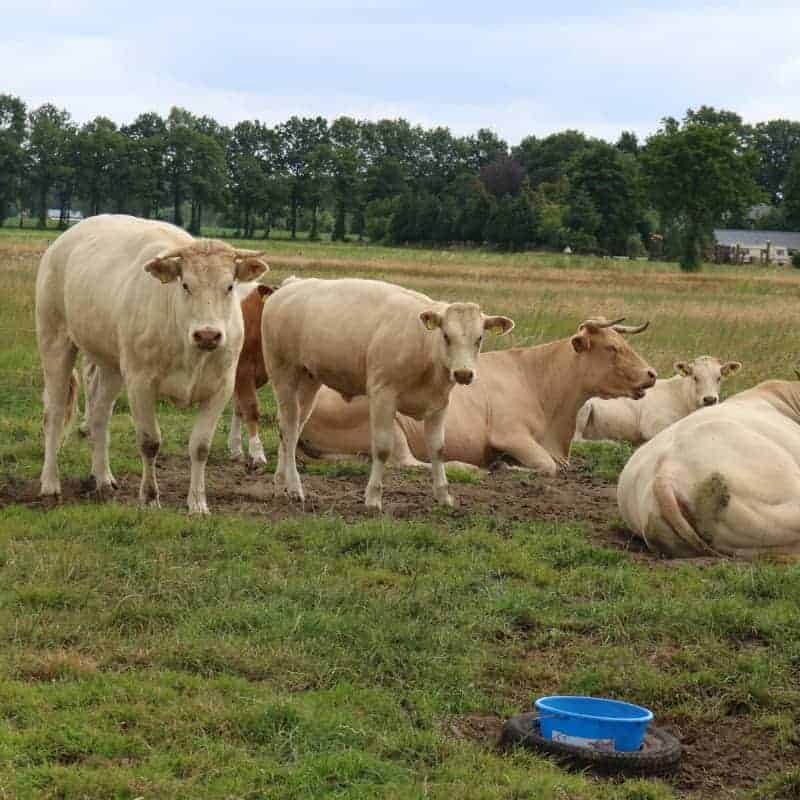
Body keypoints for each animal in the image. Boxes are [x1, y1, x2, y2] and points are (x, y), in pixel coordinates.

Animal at [35, 214, 268, 513]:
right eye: (185, 285)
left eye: (229, 286)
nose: (207, 334)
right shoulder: (140, 383)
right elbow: (150, 442)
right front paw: (149, 497)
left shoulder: (221, 387)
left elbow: (200, 446)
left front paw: (198, 503)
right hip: (55, 340)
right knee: (53, 414)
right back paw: (50, 484)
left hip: (111, 364)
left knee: (99, 414)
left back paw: (103, 478)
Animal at [261, 276, 515, 510]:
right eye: (446, 336)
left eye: (479, 338)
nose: (463, 373)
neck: (424, 346)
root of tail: (291, 284)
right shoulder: (383, 395)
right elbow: (383, 448)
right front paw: (373, 499)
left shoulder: (440, 403)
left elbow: (438, 448)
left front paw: (444, 496)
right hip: (283, 374)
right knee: (288, 429)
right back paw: (295, 488)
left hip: (308, 381)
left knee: (292, 428)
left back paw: (280, 485)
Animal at [298, 317, 656, 474]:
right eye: (612, 348)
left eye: (624, 343)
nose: (652, 373)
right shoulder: (510, 434)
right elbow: (546, 467)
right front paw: (506, 466)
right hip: (388, 422)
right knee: (408, 463)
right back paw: (466, 467)